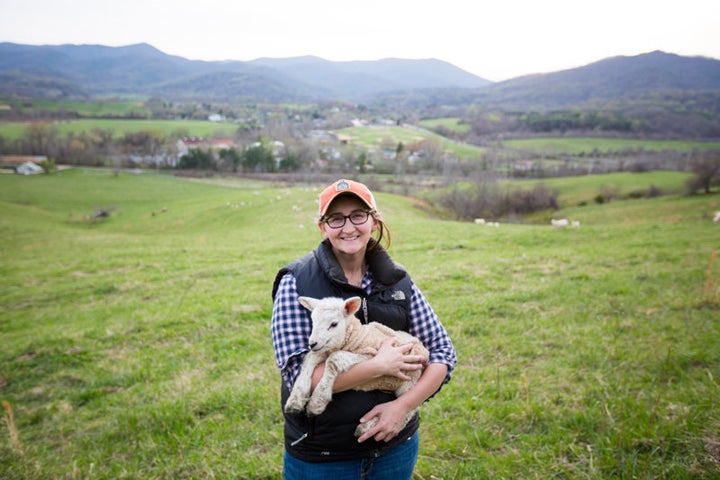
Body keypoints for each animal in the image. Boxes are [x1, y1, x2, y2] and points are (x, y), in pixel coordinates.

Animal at [284, 294, 430, 436]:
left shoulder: (372, 355)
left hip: (410, 381)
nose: (312, 343)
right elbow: (310, 358)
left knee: (410, 407)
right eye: (313, 321)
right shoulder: (324, 350)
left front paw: (317, 402)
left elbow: (334, 359)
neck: (356, 337)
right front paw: (295, 400)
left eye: (334, 324)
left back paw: (366, 427)